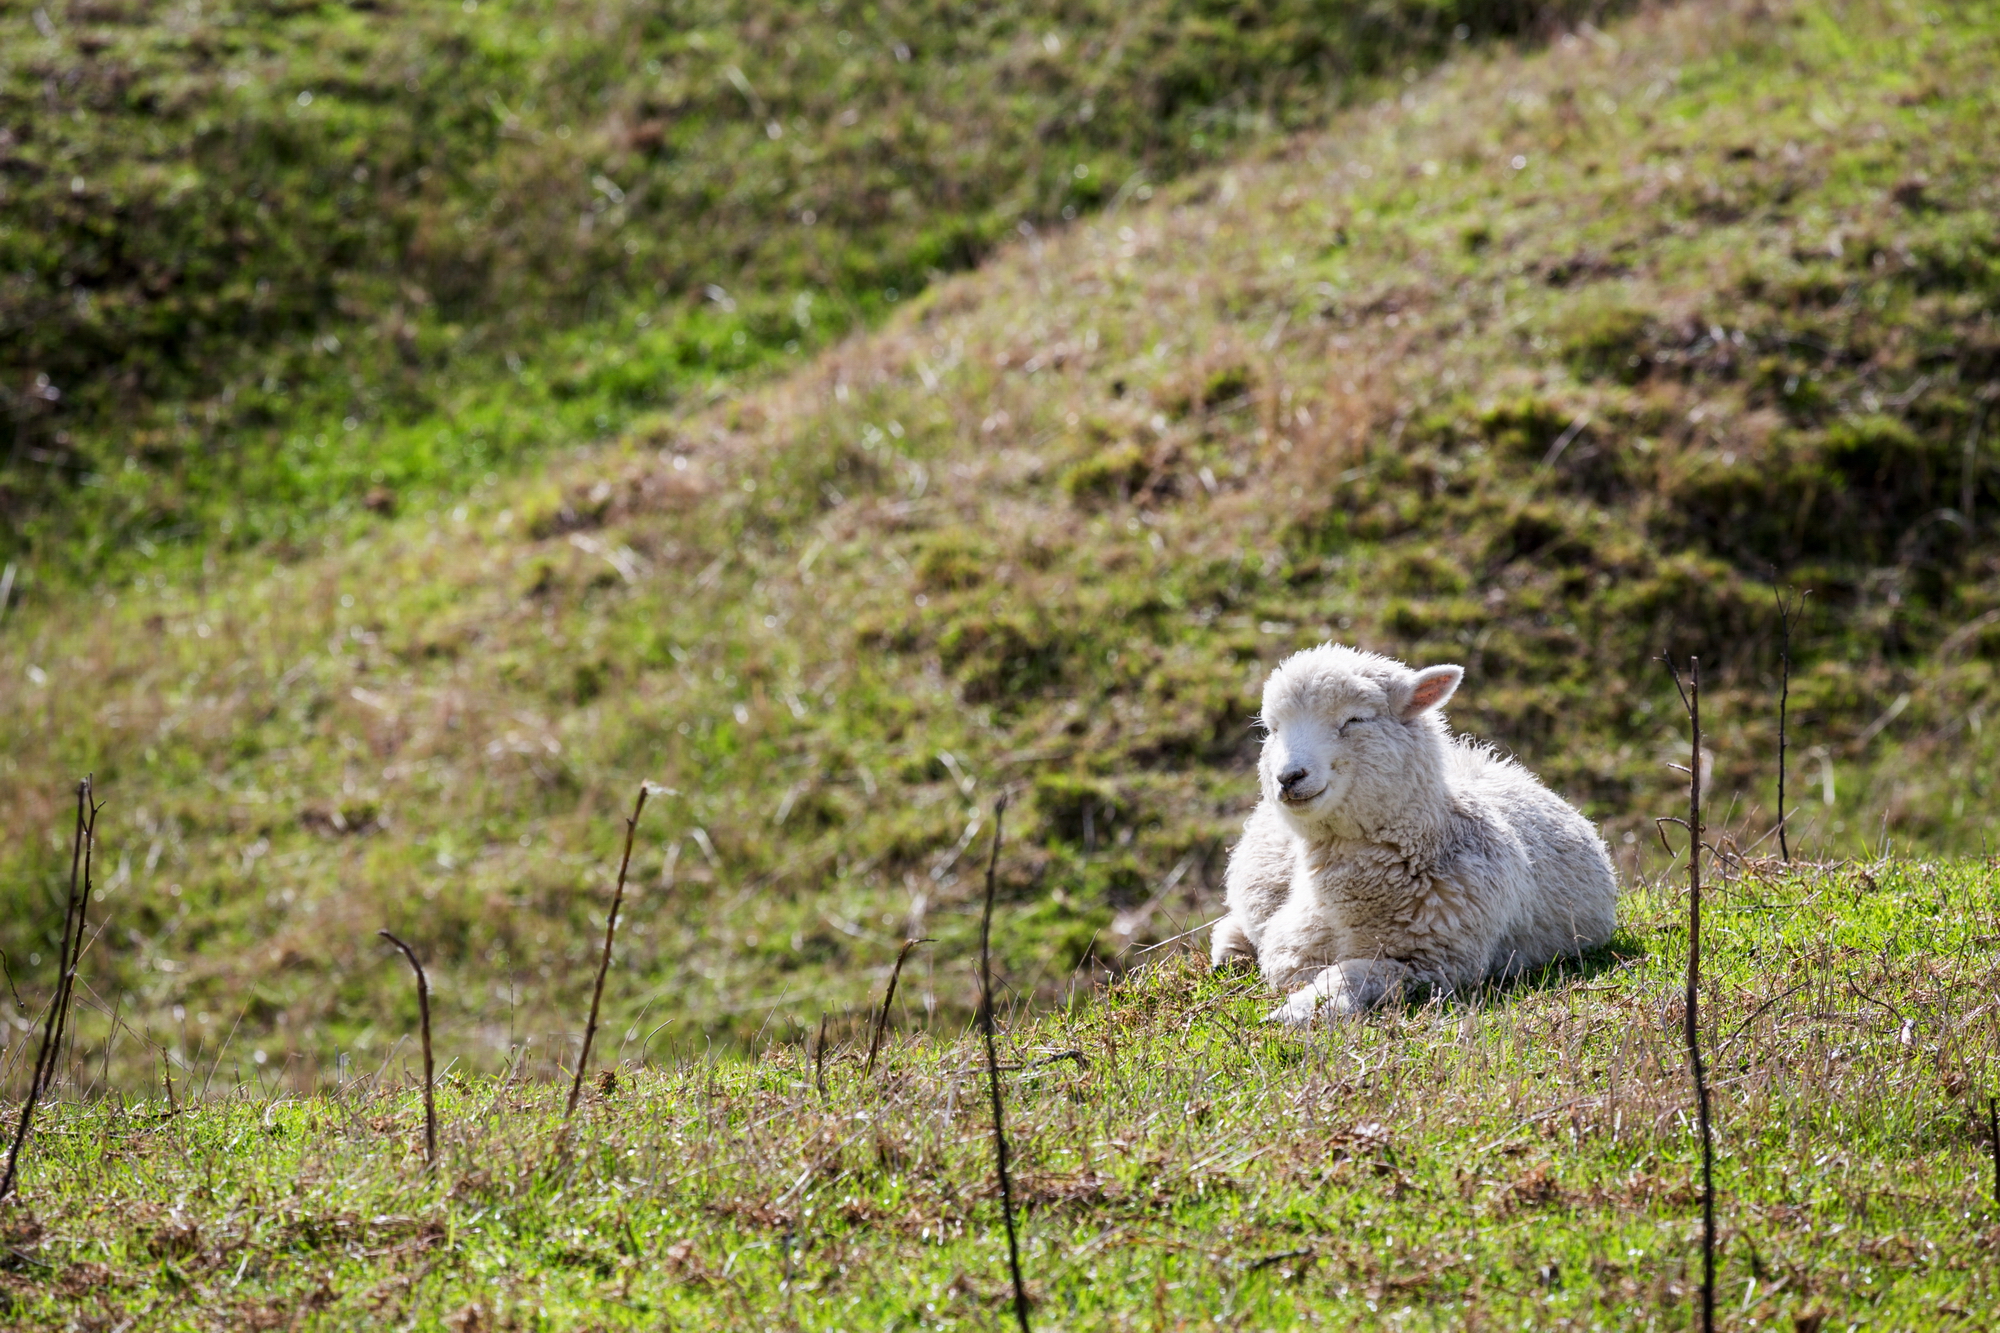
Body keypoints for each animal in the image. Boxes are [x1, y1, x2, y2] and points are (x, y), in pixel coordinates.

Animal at [1208, 644, 1616, 1016]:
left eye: (1354, 719)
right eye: (1272, 730)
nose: (1288, 777)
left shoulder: (1428, 964)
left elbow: (1349, 977)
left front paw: (1296, 1011)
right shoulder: (1294, 948)